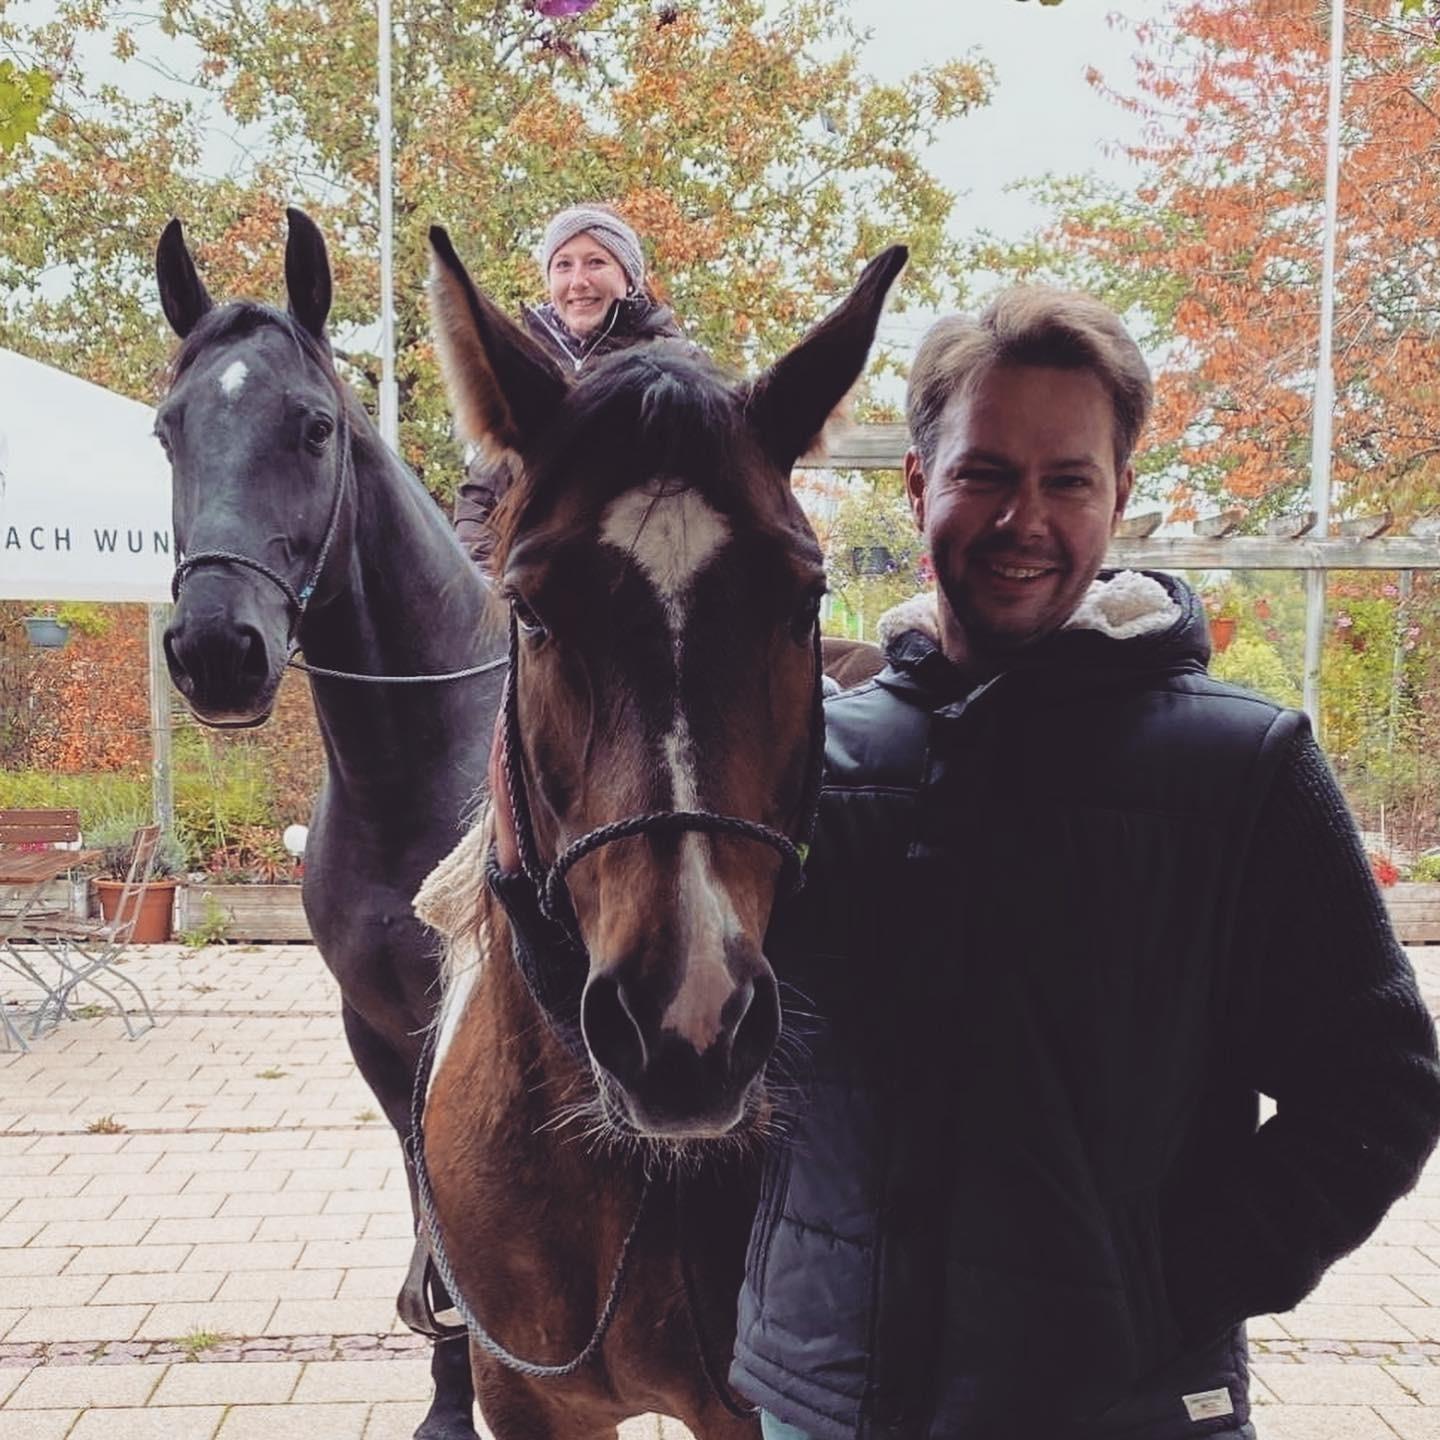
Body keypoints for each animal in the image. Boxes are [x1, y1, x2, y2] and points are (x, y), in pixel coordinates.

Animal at [154, 209, 505, 1440]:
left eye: (311, 427)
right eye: (169, 430)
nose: (217, 649)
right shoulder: (383, 1034)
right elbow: (430, 1213)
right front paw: (451, 1400)